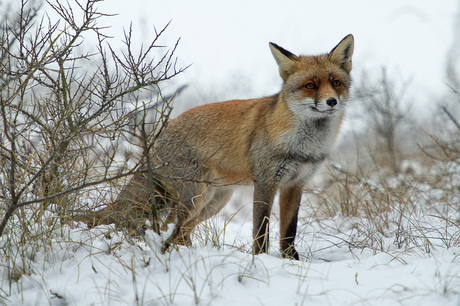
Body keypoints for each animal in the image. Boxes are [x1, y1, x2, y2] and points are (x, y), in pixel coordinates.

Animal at [82, 34, 354, 260]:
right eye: (310, 85)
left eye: (336, 82)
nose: (332, 101)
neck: (304, 146)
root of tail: (160, 135)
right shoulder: (266, 181)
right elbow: (261, 229)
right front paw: (260, 260)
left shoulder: (295, 184)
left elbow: (289, 231)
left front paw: (291, 261)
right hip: (193, 197)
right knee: (170, 227)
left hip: (213, 202)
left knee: (182, 233)